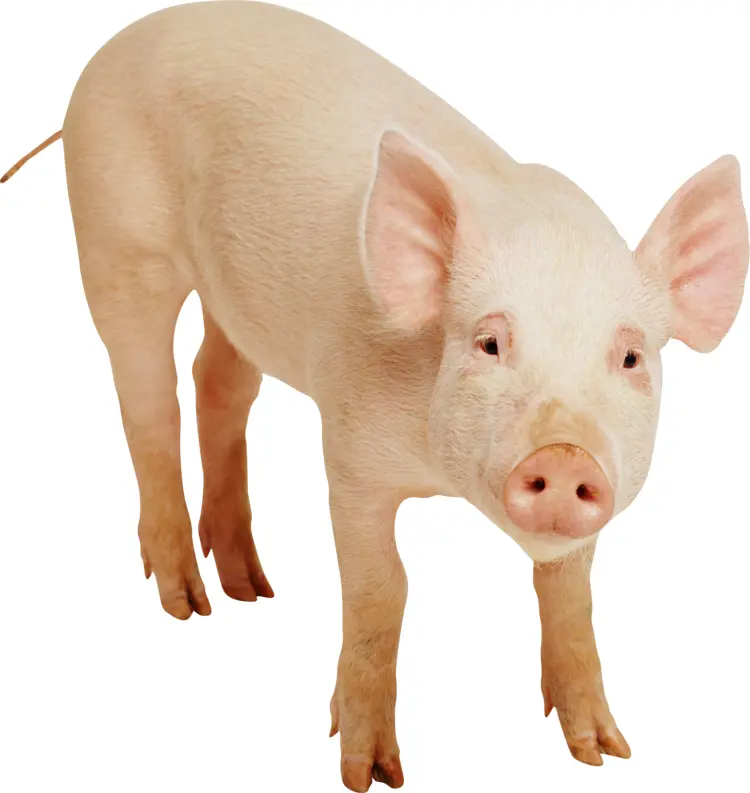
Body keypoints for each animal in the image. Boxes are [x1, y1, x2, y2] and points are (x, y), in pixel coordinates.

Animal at [2, 2, 747, 790]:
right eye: (489, 343)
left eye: (631, 356)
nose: (567, 453)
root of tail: (115, 45)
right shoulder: (350, 450)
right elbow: (382, 587)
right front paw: (370, 773)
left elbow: (570, 593)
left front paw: (604, 752)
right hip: (115, 240)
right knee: (147, 399)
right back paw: (189, 606)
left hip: (234, 297)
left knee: (218, 383)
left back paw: (250, 586)